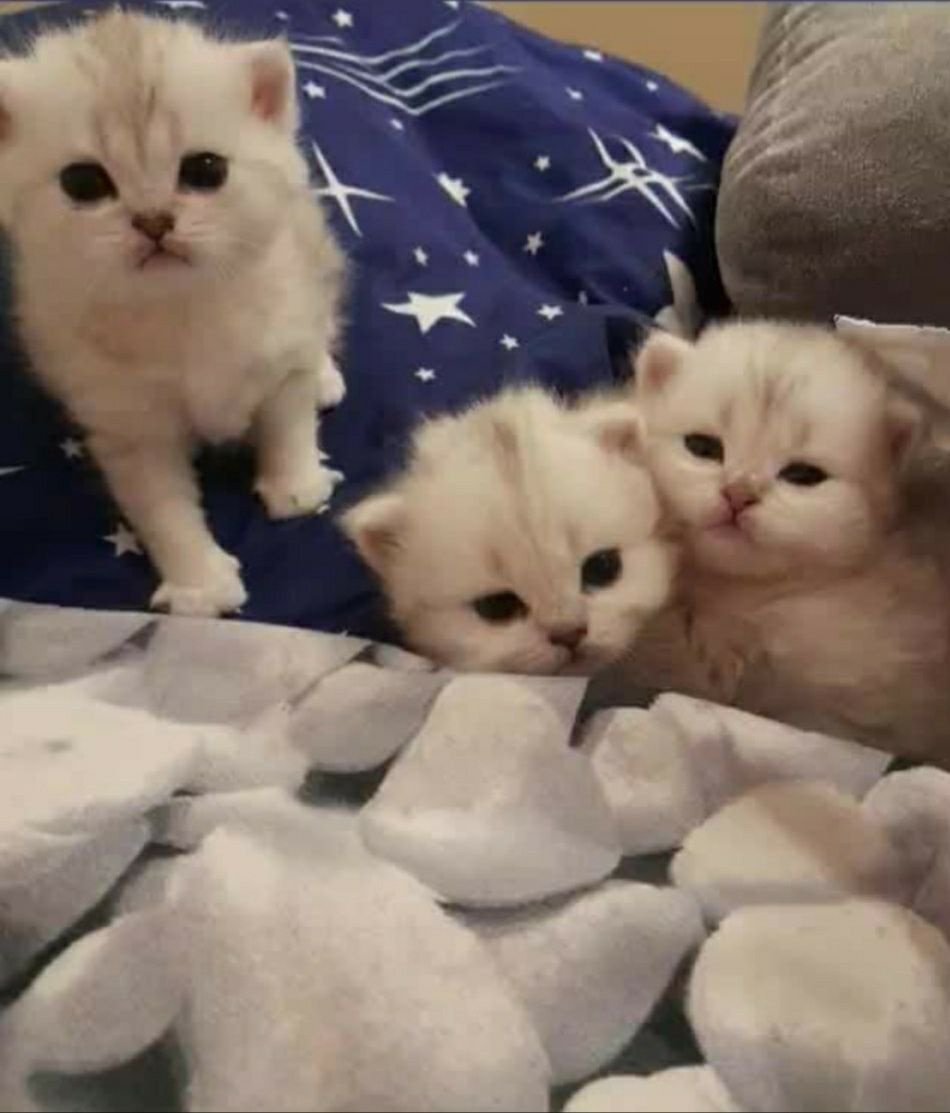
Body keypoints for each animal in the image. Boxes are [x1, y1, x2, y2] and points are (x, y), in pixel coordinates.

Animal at [0, 10, 347, 618]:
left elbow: (288, 422)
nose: (154, 221)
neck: (182, 308)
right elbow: (163, 511)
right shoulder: (130, 428)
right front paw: (200, 584)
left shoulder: (282, 353)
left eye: (205, 170)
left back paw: (326, 376)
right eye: (83, 182)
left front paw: (297, 486)